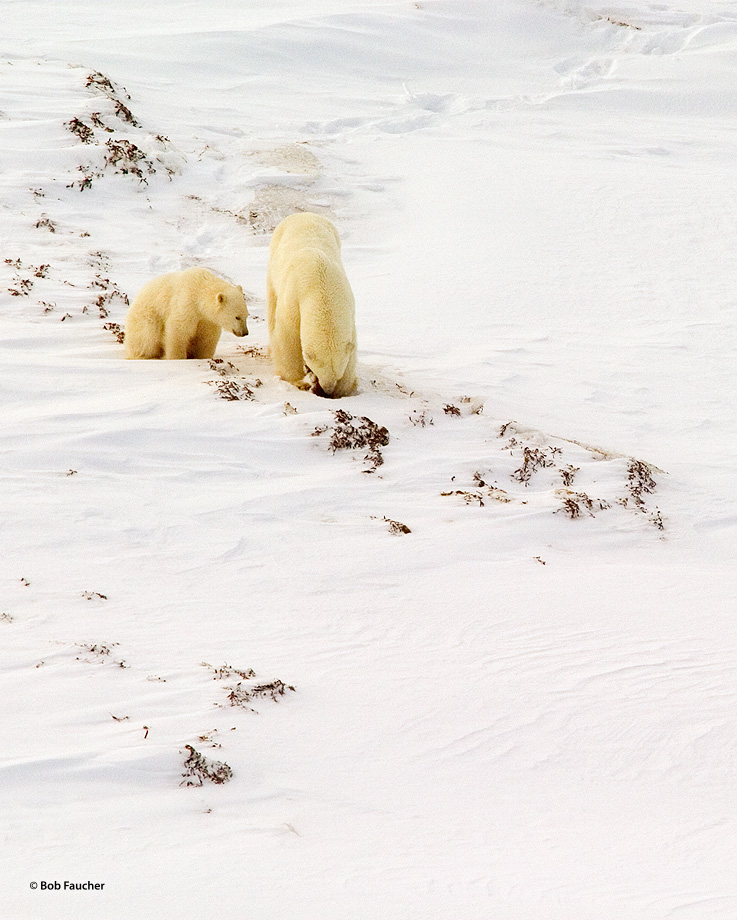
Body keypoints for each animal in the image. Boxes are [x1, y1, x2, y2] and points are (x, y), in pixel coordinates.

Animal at [266, 212, 358, 398]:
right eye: (320, 371)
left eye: (337, 374)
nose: (327, 390)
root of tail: (303, 214)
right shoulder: (294, 296)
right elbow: (288, 336)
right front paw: (297, 381)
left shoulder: (348, 306)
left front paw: (345, 387)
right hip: (274, 258)